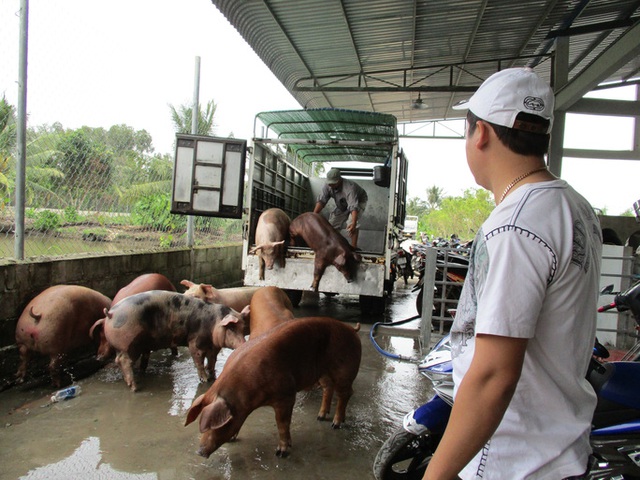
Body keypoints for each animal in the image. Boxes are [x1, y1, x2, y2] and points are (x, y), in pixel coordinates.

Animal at [102, 290, 248, 392]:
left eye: (242, 328)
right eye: (231, 328)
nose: (244, 344)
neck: (213, 323)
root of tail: (111, 313)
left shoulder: (214, 348)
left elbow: (212, 360)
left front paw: (213, 375)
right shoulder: (195, 342)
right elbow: (198, 360)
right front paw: (206, 380)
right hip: (128, 344)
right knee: (123, 361)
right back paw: (135, 388)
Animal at [186, 316, 364, 458]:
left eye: (216, 426)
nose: (199, 452)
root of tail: (351, 329)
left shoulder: (286, 395)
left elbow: (282, 423)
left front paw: (281, 453)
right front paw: (232, 439)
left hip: (345, 370)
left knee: (346, 393)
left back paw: (336, 424)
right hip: (322, 373)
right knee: (328, 388)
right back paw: (320, 417)